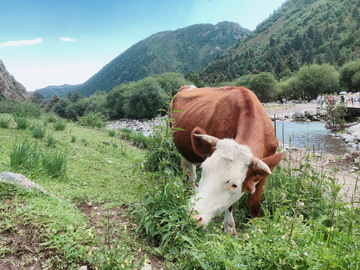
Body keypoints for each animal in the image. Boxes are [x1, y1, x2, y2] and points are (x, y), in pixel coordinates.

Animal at [170, 85, 282, 235]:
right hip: (184, 153)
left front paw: (256, 230)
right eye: (204, 170)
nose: (193, 216)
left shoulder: (263, 174)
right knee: (191, 176)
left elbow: (255, 204)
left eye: (235, 185)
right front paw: (229, 228)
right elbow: (230, 205)